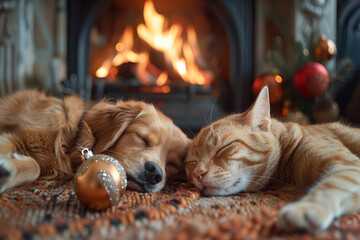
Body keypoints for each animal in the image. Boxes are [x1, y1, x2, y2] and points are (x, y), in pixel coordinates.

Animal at [0, 90, 191, 193]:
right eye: (142, 138)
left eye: (172, 163)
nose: (155, 173)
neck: (72, 139)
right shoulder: (16, 134)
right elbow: (34, 166)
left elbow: (35, 167)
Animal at [186, 86, 360, 232]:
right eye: (192, 162)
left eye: (223, 148)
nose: (198, 174)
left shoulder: (349, 165)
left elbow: (330, 186)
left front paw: (307, 208)